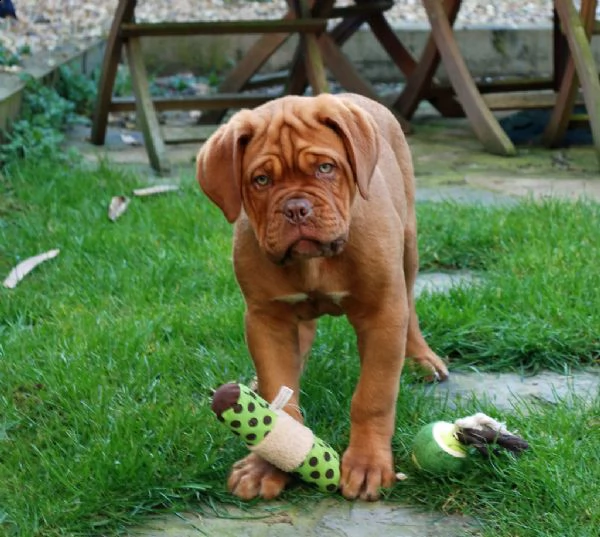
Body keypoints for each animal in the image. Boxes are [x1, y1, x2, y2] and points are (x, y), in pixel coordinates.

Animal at [195, 91, 448, 498]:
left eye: (326, 168)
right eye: (261, 180)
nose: (296, 208)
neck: (315, 263)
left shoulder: (382, 312)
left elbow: (373, 396)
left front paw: (367, 464)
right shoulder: (267, 319)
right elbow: (279, 399)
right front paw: (268, 463)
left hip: (408, 247)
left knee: (410, 304)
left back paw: (422, 359)